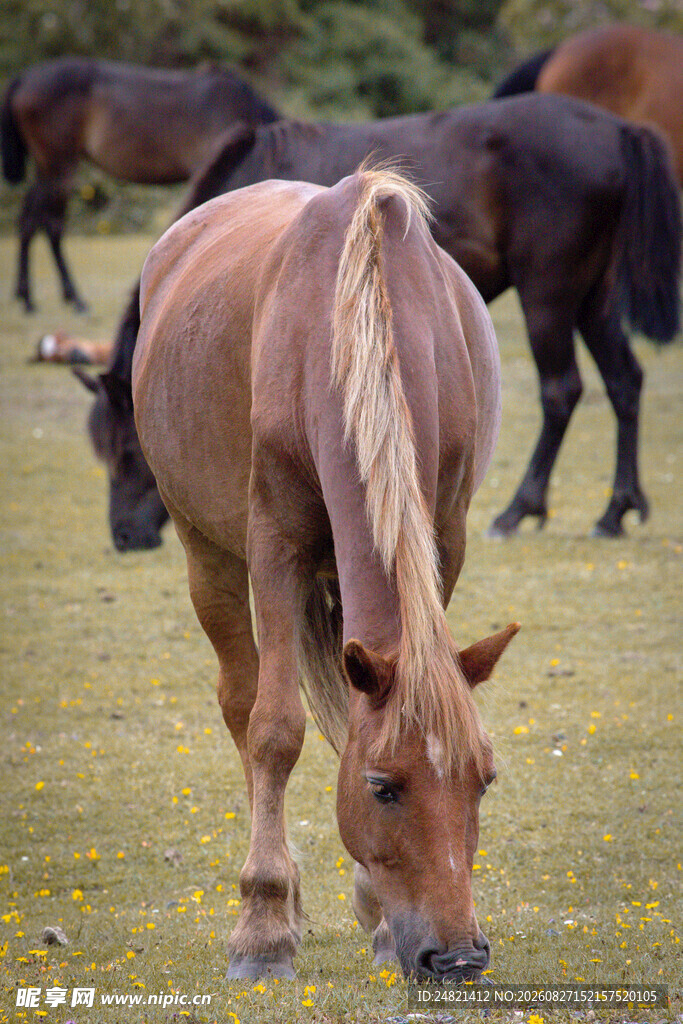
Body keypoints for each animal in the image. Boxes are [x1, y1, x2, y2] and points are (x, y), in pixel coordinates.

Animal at [1, 56, 279, 312]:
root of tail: (24, 78)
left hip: (47, 167)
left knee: (32, 217)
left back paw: (31, 294)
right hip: (58, 166)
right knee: (45, 223)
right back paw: (56, 299)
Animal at [77, 93, 681, 551]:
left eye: (128, 454)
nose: (123, 537)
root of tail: (619, 130)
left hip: (549, 296)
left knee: (561, 391)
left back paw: (518, 511)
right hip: (592, 300)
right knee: (625, 382)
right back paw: (615, 510)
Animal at [132, 166, 519, 980]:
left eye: (485, 778)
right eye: (383, 788)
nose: (458, 957)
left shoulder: (442, 539)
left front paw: (379, 918)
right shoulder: (276, 547)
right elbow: (274, 730)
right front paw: (263, 929)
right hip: (206, 552)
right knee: (240, 702)